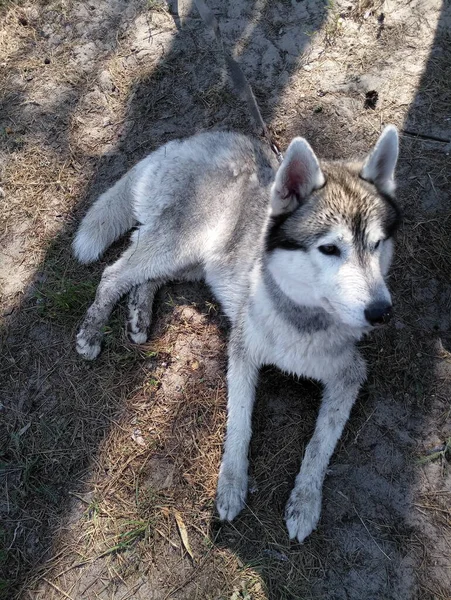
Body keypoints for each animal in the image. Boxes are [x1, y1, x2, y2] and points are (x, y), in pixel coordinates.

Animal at [74, 127, 402, 544]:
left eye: (376, 245)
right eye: (329, 249)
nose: (381, 311)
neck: (300, 318)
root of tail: (195, 139)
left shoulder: (349, 375)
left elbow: (318, 444)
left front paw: (305, 501)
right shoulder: (242, 352)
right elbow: (240, 424)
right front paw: (231, 485)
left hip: (194, 261)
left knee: (145, 276)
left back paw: (138, 315)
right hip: (180, 247)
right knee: (115, 273)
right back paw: (92, 331)